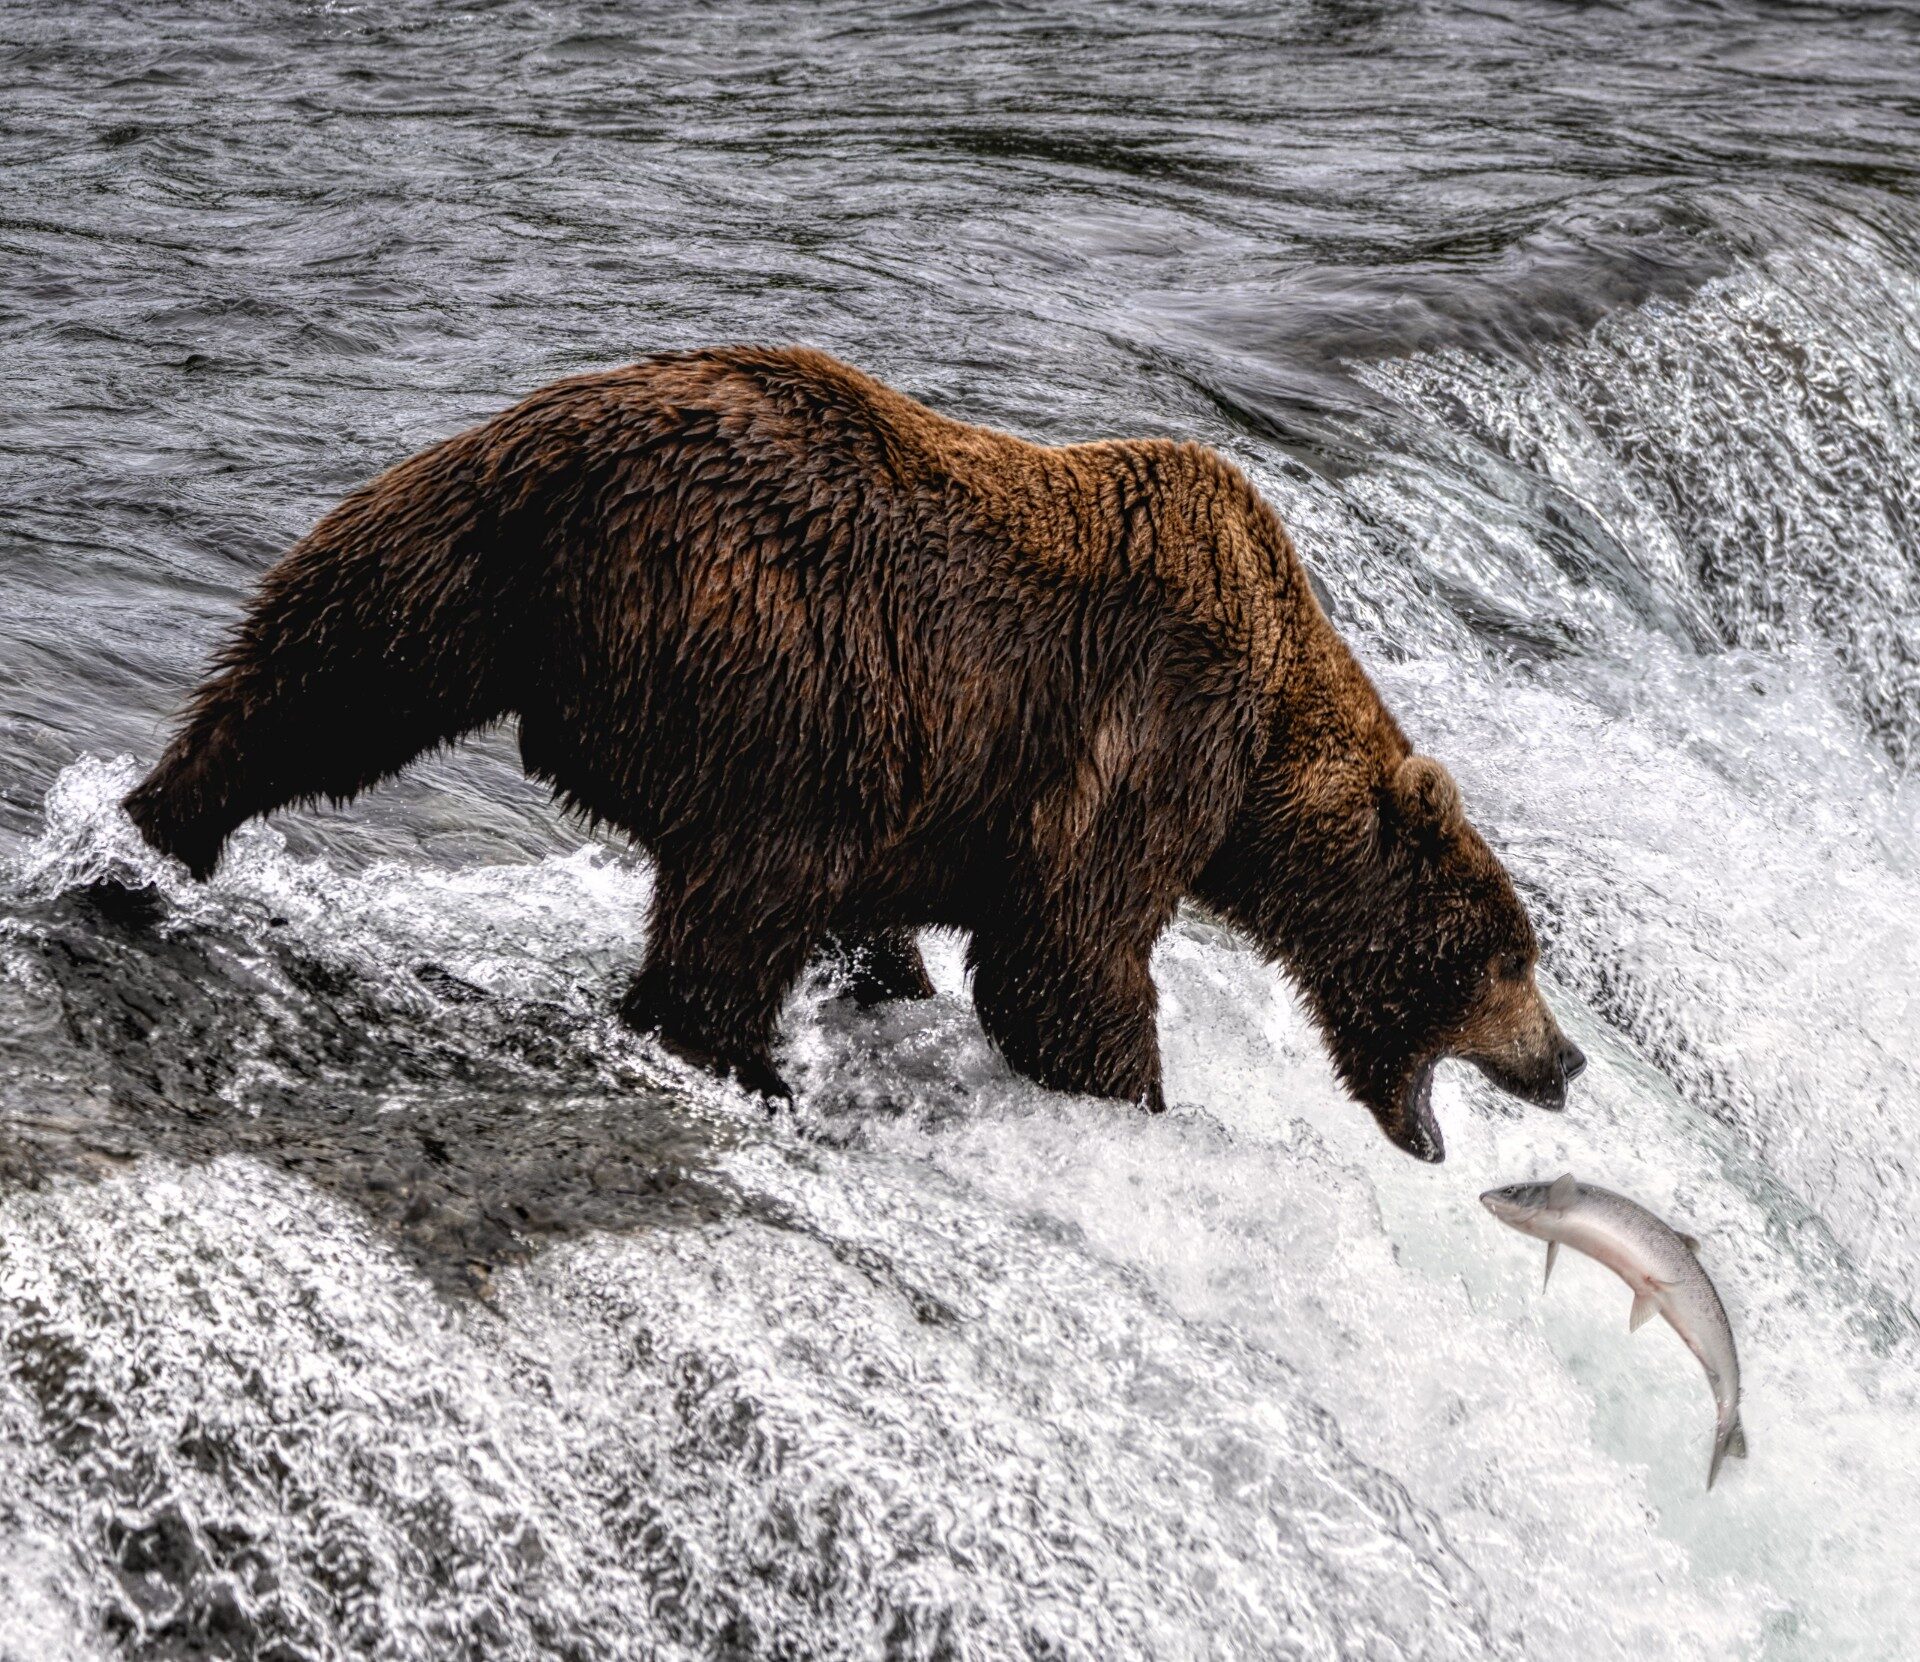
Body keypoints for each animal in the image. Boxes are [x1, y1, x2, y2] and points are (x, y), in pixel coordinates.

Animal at [124, 345, 1584, 1161]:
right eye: (1508, 959)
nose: (1567, 1062)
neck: (1272, 766)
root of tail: (580, 473)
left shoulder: (959, 787)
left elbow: (912, 921)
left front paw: (896, 984)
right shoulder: (1153, 728)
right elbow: (1069, 954)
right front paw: (1144, 1102)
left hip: (477, 540)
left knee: (335, 659)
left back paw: (164, 815)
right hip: (787, 656)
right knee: (745, 889)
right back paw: (741, 1059)